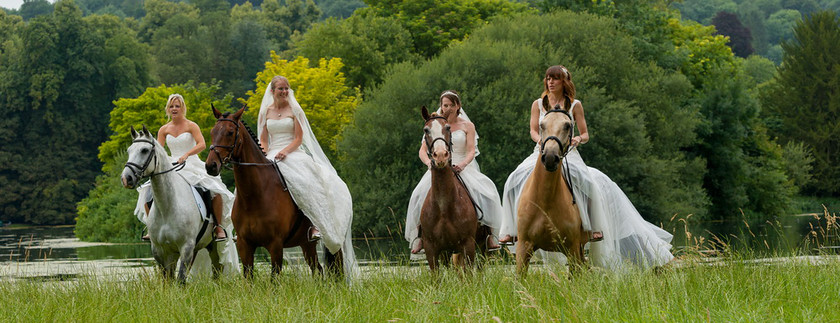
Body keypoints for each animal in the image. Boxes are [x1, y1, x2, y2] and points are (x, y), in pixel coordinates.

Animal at [120, 126, 223, 284]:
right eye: (129, 150)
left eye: (144, 150)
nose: (126, 178)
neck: (167, 207)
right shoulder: (160, 250)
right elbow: (167, 280)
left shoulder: (186, 247)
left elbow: (180, 280)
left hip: (212, 244)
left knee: (217, 269)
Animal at [204, 107, 342, 280]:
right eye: (212, 132)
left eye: (230, 132)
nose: (211, 166)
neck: (254, 196)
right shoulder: (244, 244)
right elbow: (248, 278)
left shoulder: (275, 244)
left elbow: (274, 279)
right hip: (306, 244)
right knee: (317, 270)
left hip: (330, 240)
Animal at [420, 107, 480, 274]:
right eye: (426, 130)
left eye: (447, 128)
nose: (440, 156)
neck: (444, 207)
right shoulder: (431, 249)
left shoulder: (468, 245)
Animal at [516, 96, 588, 276]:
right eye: (542, 125)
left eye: (567, 125)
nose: (549, 158)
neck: (545, 200)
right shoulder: (523, 247)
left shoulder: (572, 248)